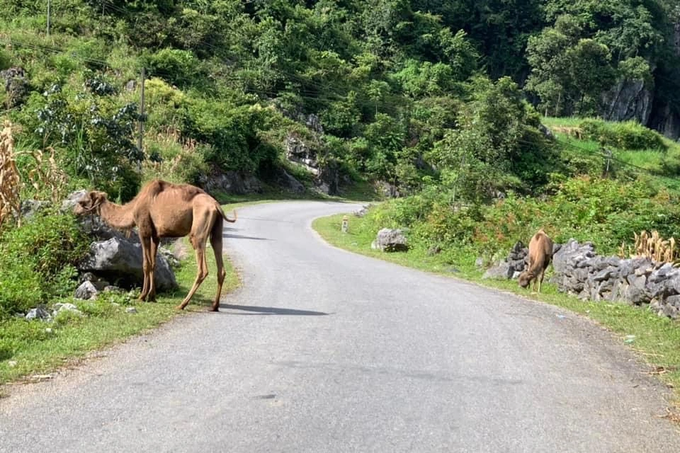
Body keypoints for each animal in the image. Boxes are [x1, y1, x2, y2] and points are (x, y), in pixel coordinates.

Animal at [74, 179, 237, 311]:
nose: (74, 211)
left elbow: (146, 264)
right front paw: (151, 296)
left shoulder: (144, 229)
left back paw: (182, 304)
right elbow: (153, 263)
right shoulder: (156, 235)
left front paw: (142, 296)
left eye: (83, 202)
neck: (132, 210)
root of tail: (216, 206)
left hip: (198, 230)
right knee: (220, 265)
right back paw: (214, 306)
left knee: (202, 269)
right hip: (217, 230)